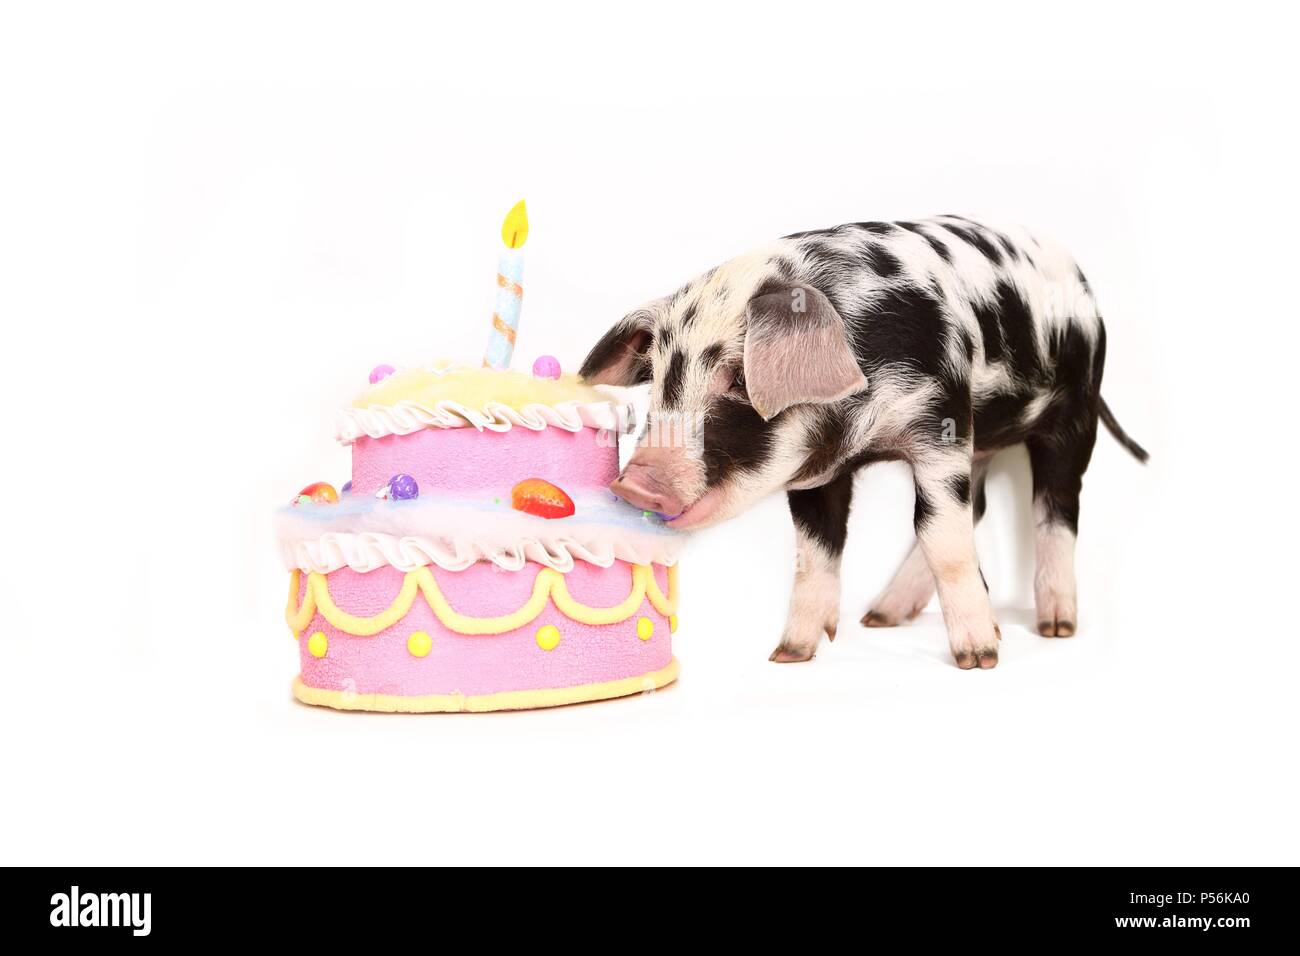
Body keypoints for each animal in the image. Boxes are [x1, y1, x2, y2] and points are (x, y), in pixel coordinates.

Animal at [580, 216, 1148, 669]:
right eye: (657, 381)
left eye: (739, 379)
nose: (633, 484)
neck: (863, 428)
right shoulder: (815, 473)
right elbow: (814, 554)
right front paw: (788, 655)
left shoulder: (942, 423)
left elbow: (942, 538)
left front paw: (980, 658)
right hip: (986, 441)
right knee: (979, 507)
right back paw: (880, 618)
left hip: (1074, 414)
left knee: (1055, 506)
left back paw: (1056, 627)